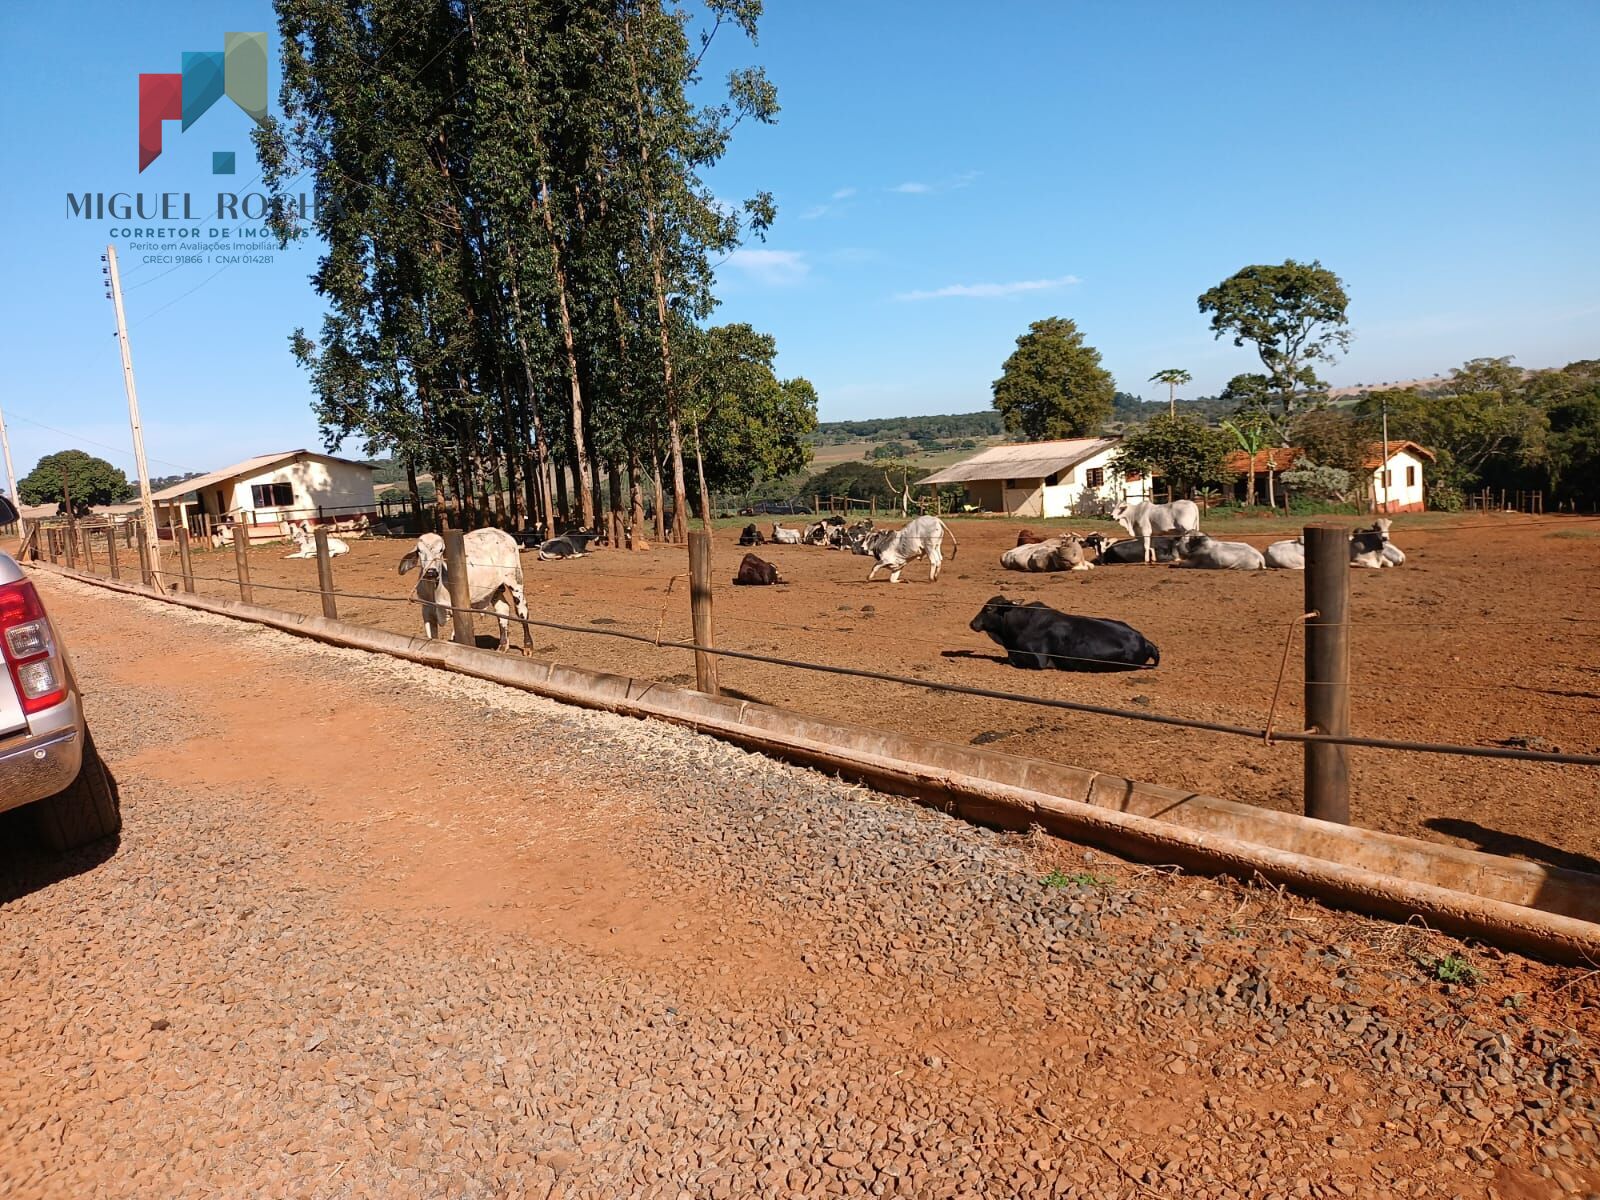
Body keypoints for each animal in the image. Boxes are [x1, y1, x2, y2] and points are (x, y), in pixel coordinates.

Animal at [398, 531, 531, 652]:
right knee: (502, 609)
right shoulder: (427, 612)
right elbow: (432, 637)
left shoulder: (457, 610)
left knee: (522, 610)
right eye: (419, 551)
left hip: (515, 580)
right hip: (493, 590)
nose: (431, 572)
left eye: (441, 550)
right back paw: (503, 646)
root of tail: (503, 534)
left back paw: (528, 646)